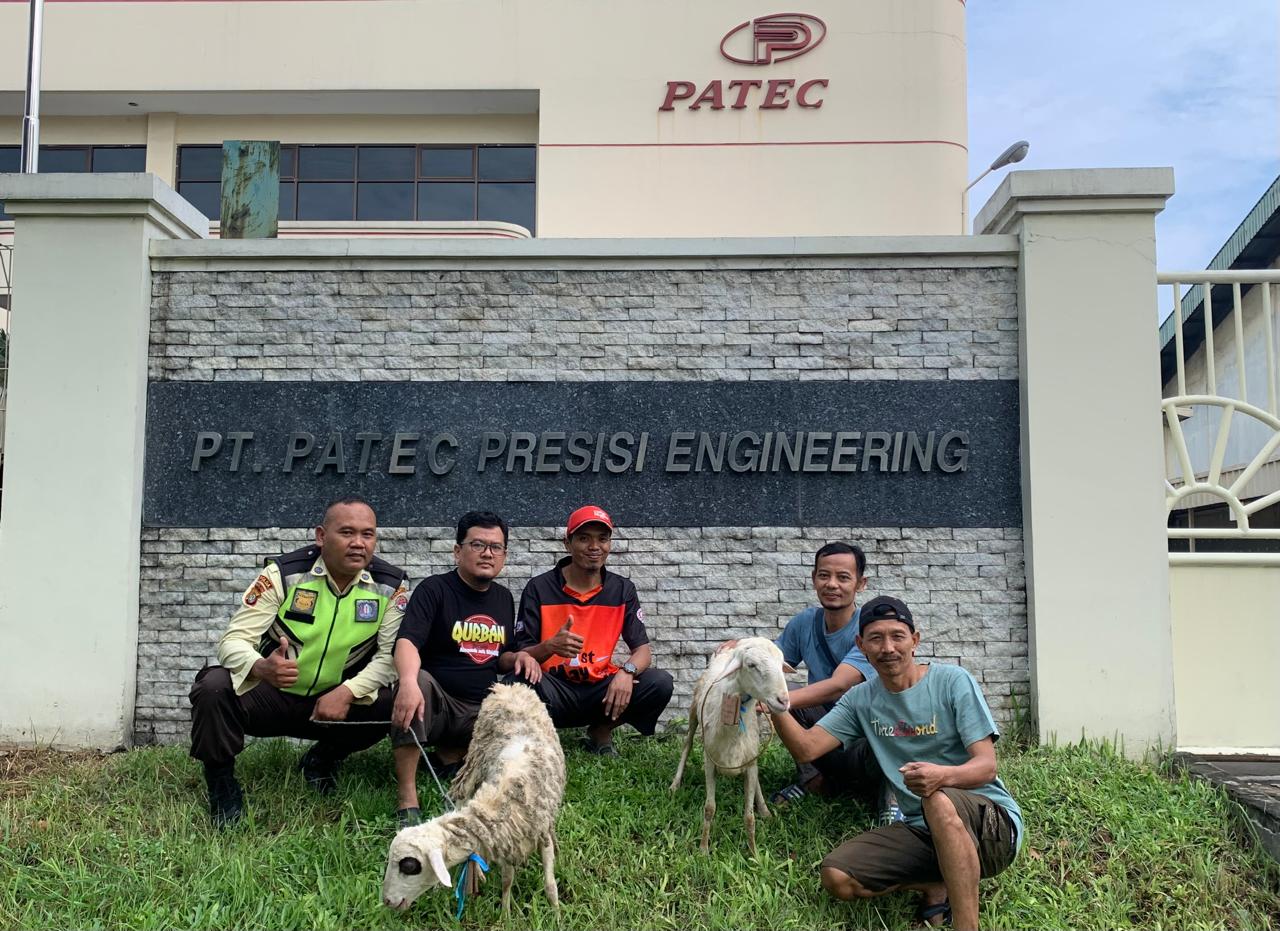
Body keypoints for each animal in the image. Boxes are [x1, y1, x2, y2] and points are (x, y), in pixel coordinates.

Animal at [382, 683, 566, 915]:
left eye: (408, 866)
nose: (386, 901)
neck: (506, 795)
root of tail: (507, 686)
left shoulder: (535, 833)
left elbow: (549, 884)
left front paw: (556, 913)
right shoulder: (507, 839)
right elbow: (507, 880)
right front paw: (506, 914)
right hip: (473, 766)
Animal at [669, 637, 791, 854]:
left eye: (781, 663)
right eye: (751, 665)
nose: (784, 701)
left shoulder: (750, 764)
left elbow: (749, 817)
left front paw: (754, 854)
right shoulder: (709, 763)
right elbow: (709, 808)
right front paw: (703, 849)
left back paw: (764, 809)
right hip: (693, 710)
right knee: (687, 743)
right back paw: (675, 783)